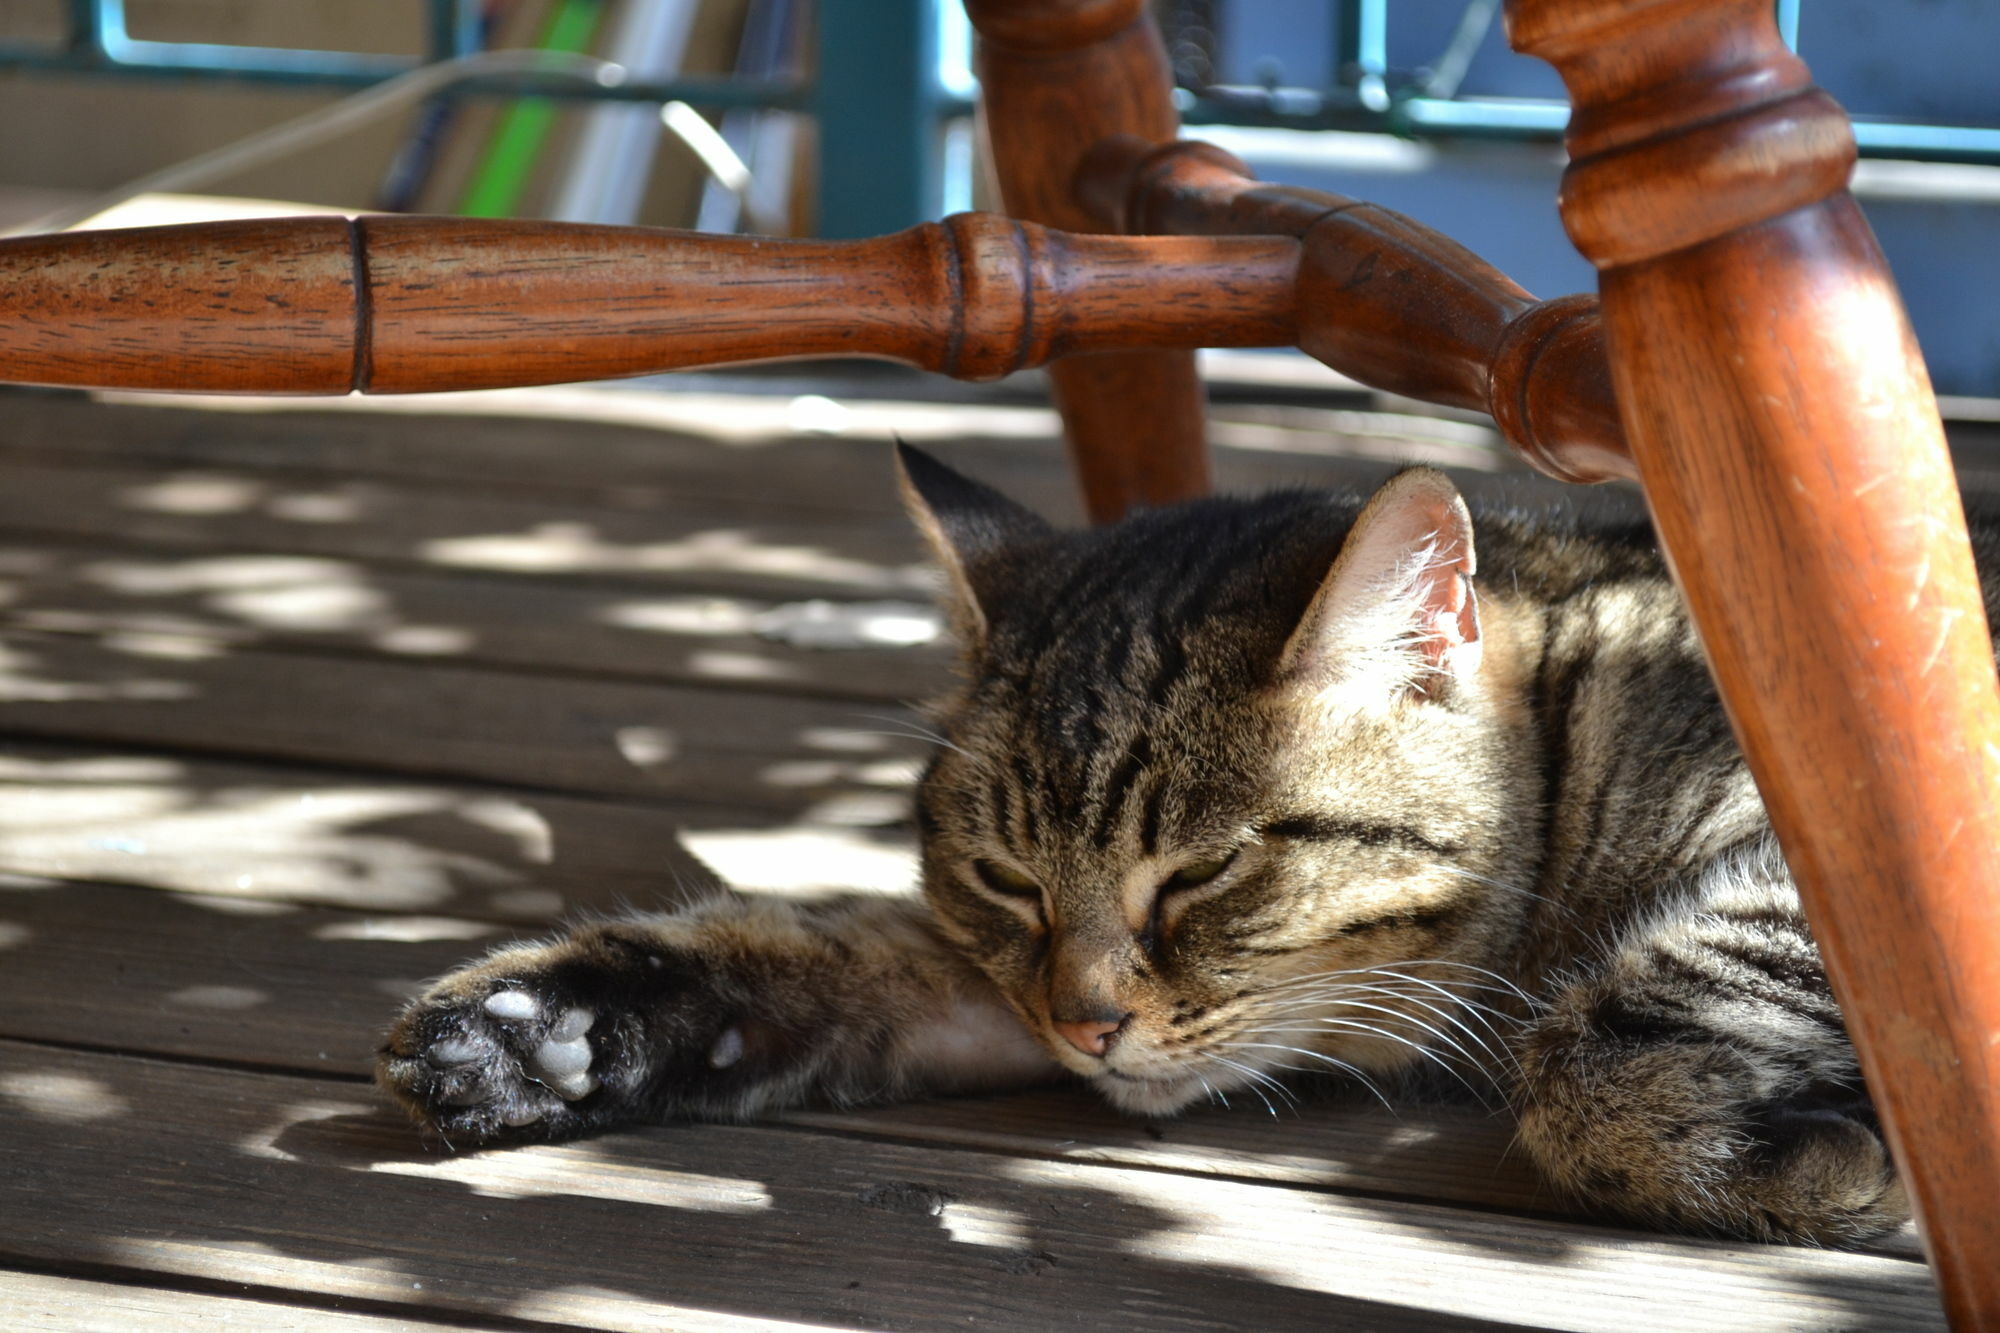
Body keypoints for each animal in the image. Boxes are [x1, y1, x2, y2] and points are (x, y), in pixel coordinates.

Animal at [378, 440, 1984, 1240]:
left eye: (1206, 870)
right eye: (1007, 877)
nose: (1089, 1025)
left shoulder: (1839, 868)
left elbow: (1604, 1054)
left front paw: (1818, 1166)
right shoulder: (988, 977)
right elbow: (815, 954)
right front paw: (537, 1027)